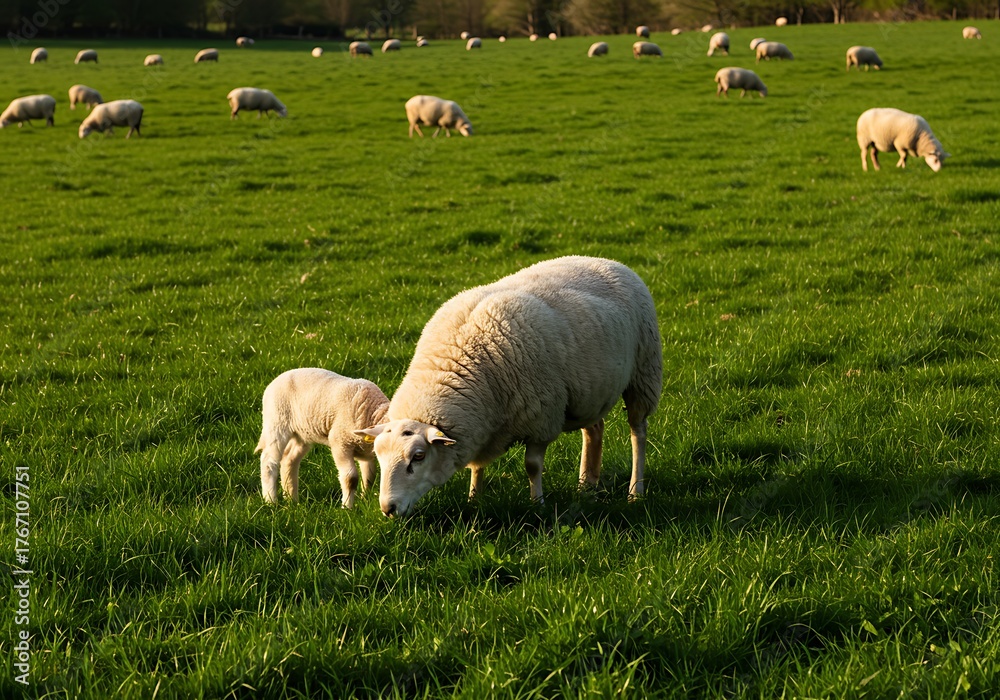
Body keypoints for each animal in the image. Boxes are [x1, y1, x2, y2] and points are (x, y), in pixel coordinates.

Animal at [256, 368, 389, 508]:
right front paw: (347, 507)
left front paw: (365, 500)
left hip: (302, 433)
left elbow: (370, 477)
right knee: (268, 460)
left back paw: (292, 500)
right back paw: (270, 501)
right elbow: (350, 478)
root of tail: (275, 380)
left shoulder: (365, 450)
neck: (372, 412)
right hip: (276, 421)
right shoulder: (340, 442)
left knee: (289, 458)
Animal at [355, 256, 663, 518]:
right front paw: (474, 497)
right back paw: (586, 485)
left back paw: (635, 491)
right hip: (590, 390)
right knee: (594, 429)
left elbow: (532, 466)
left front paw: (537, 503)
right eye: (379, 456)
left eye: (417, 457)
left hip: (644, 373)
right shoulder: (482, 424)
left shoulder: (541, 418)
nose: (388, 508)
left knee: (638, 433)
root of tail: (607, 261)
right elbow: (477, 465)